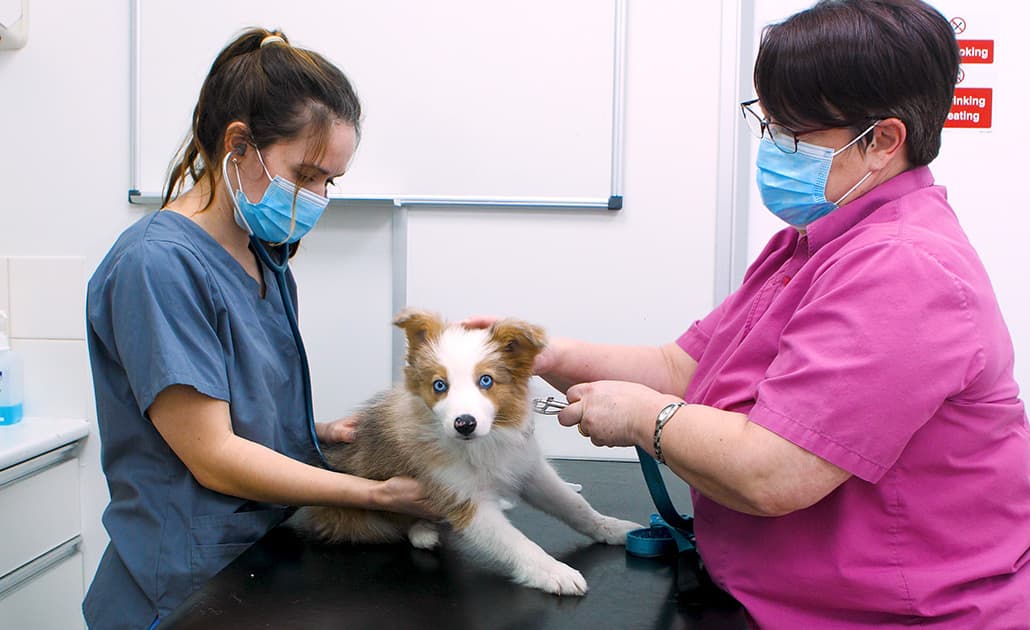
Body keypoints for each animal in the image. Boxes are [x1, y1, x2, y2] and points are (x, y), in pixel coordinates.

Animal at [294, 308, 638, 597]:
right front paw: (554, 571)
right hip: (353, 518)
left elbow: (574, 505)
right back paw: (422, 531)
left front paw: (612, 528)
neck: (481, 444)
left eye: (486, 380)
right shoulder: (463, 498)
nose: (464, 423)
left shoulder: (528, 468)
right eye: (439, 385)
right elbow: (515, 542)